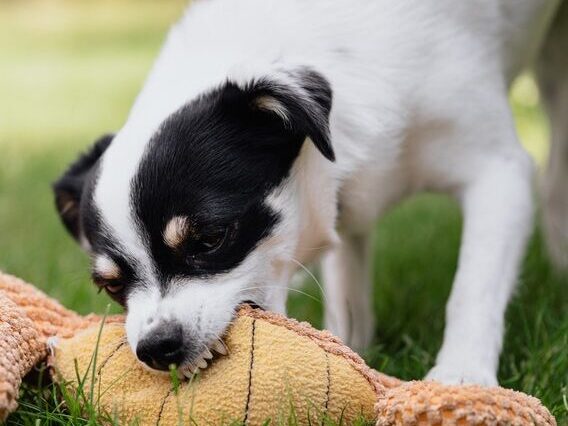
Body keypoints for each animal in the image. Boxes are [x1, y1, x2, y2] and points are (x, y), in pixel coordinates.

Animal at [54, 0, 568, 386]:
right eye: (111, 286)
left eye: (210, 239)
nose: (156, 347)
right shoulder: (345, 208)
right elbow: (347, 291)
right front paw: (351, 351)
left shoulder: (498, 172)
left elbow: (472, 289)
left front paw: (462, 375)